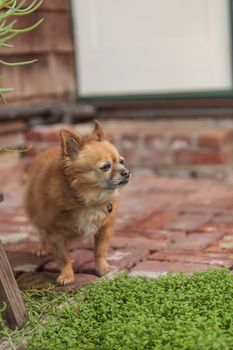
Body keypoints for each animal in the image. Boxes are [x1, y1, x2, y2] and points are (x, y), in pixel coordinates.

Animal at [24, 121, 130, 284]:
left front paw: (103, 269)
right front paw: (67, 275)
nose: (126, 172)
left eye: (121, 161)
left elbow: (100, 251)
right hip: (36, 213)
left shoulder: (104, 228)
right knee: (40, 231)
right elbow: (64, 257)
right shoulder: (56, 233)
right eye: (105, 167)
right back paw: (41, 247)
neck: (89, 199)